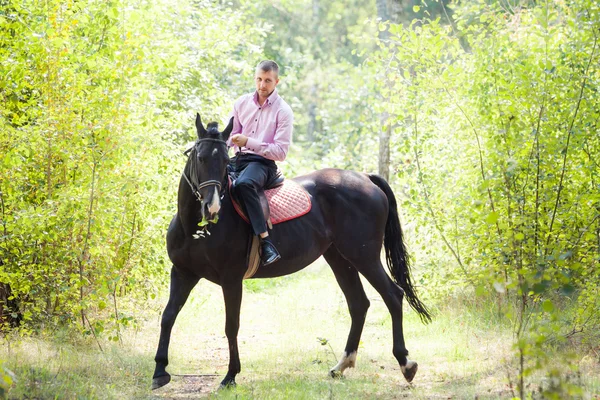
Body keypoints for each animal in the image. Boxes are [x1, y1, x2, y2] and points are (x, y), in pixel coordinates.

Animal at [152, 114, 428, 390]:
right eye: (200, 158)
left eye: (225, 161)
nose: (211, 208)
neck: (196, 229)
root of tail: (366, 178)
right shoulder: (182, 273)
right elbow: (168, 316)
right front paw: (159, 371)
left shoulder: (231, 280)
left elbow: (231, 326)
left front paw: (230, 376)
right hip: (340, 259)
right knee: (359, 303)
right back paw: (341, 366)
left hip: (365, 257)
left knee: (393, 295)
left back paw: (406, 364)